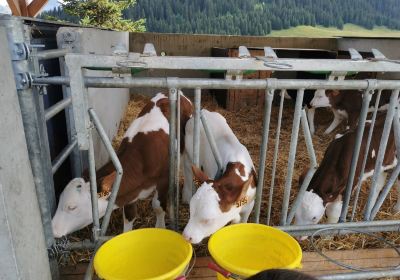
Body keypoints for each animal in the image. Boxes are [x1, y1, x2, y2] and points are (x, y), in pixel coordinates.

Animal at [51, 93, 192, 237]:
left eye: (72, 207)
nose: (53, 230)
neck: (141, 159)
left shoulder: (164, 179)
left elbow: (157, 207)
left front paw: (160, 228)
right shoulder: (130, 192)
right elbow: (129, 215)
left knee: (187, 167)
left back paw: (186, 194)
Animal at [181, 108, 256, 244]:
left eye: (207, 220)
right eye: (190, 211)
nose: (186, 237)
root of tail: (204, 111)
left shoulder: (249, 205)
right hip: (188, 154)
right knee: (188, 172)